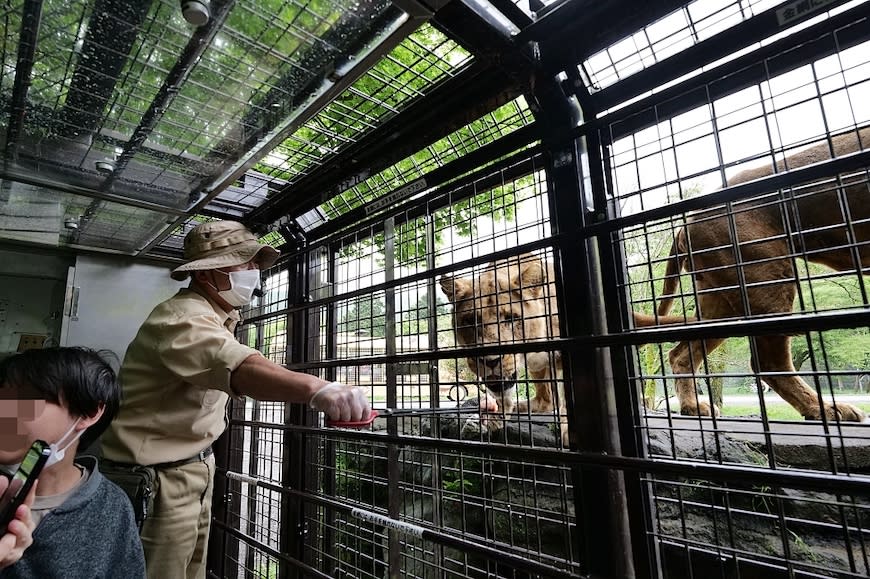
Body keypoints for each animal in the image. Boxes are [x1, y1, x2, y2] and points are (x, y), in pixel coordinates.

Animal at [440, 251, 568, 446]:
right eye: (470, 321)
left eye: (511, 318)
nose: (489, 361)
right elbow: (503, 396)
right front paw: (495, 418)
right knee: (547, 400)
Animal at [632, 127, 870, 424]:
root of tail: (687, 223)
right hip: (767, 276)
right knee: (768, 361)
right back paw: (824, 408)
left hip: (724, 301)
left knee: (681, 353)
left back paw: (693, 406)